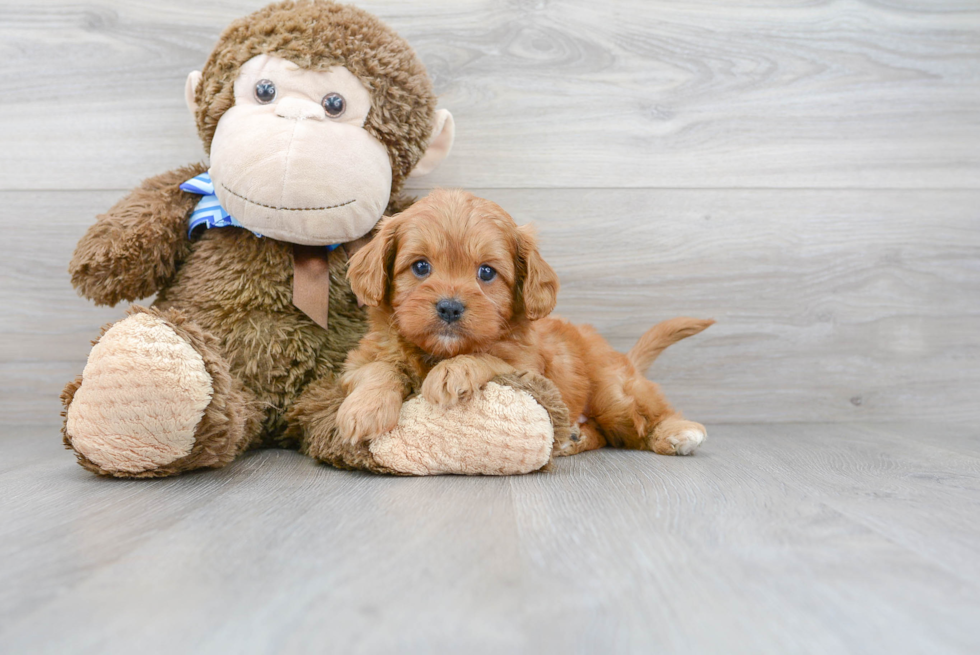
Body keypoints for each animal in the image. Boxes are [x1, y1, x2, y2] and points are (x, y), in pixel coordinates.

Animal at [336, 188, 712, 456]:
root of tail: (624, 359)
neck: (437, 352)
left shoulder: (527, 367)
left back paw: (677, 433)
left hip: (613, 393)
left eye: (486, 272)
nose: (450, 308)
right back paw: (573, 437)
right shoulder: (357, 362)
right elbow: (378, 368)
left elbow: (487, 356)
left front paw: (453, 371)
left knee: (642, 418)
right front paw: (365, 409)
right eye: (420, 266)